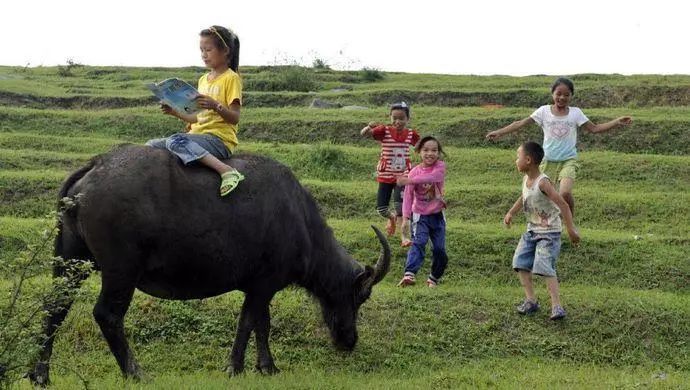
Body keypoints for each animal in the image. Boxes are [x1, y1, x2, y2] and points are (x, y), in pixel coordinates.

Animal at [30, 144, 388, 384]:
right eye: (361, 296)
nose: (349, 340)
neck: (299, 219)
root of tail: (94, 167)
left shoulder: (260, 287)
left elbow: (262, 324)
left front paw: (267, 367)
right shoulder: (264, 284)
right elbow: (249, 322)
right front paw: (235, 367)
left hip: (69, 261)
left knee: (55, 308)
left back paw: (39, 375)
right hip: (121, 271)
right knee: (107, 315)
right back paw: (136, 373)